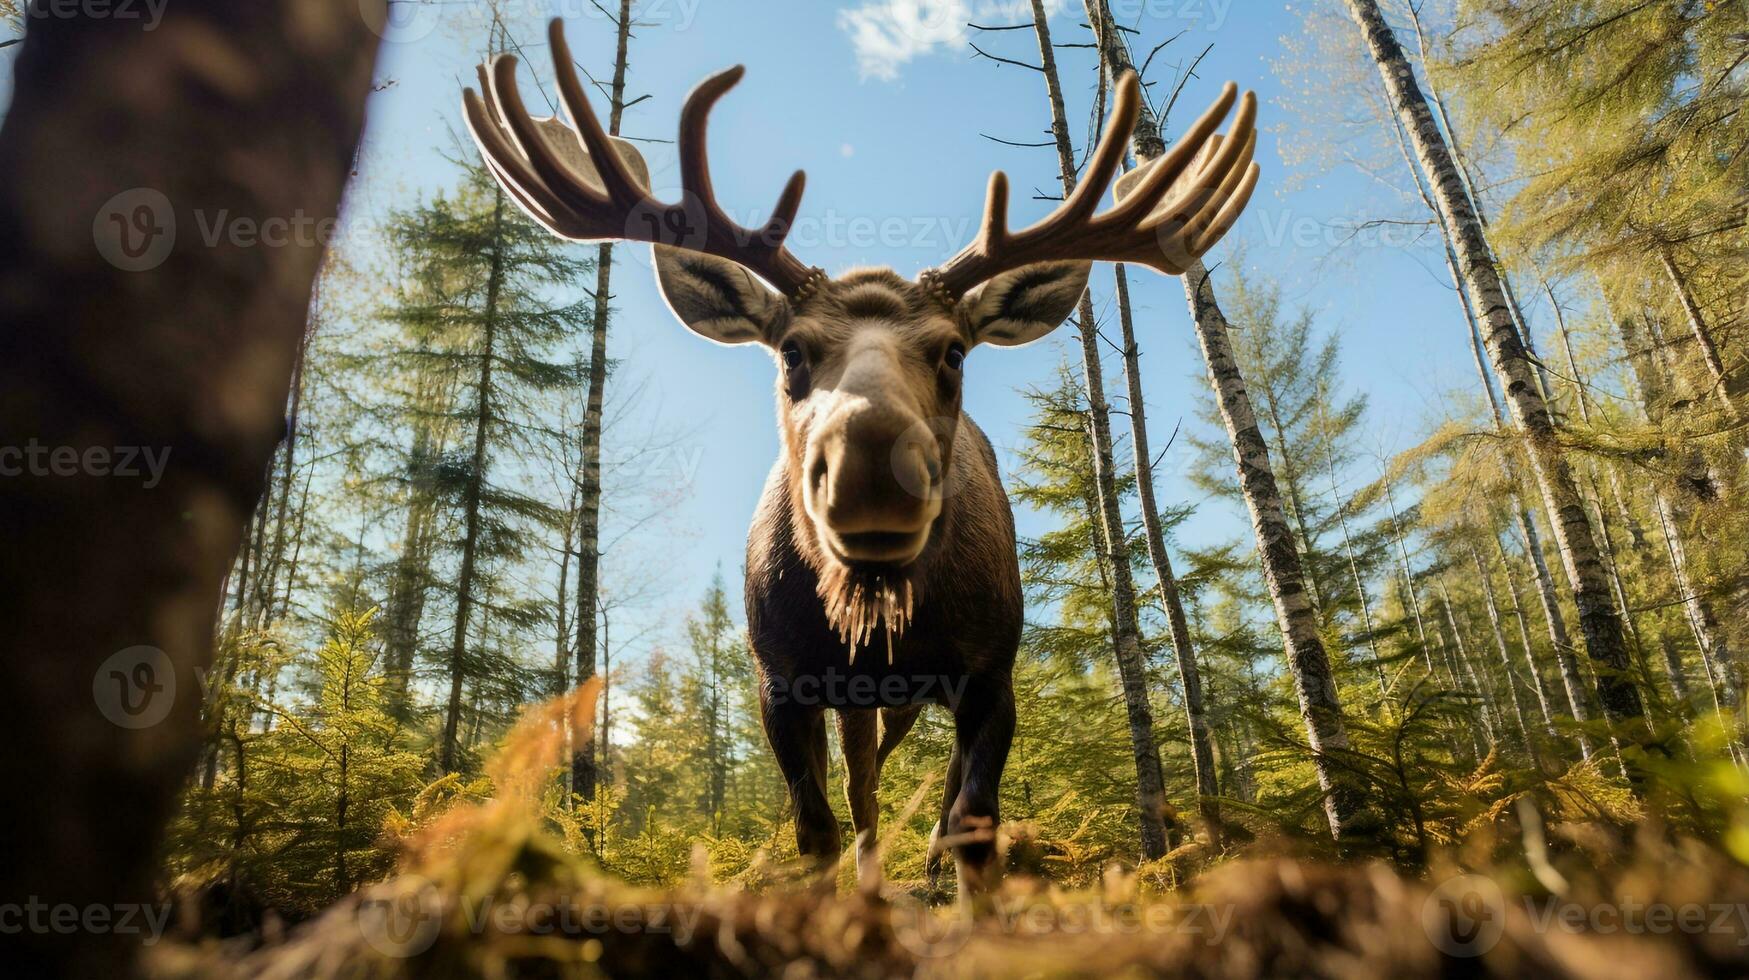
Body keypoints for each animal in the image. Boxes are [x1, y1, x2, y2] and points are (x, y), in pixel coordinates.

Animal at [465, 17, 1259, 896]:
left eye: (953, 352)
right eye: (791, 351)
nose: (872, 469)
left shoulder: (989, 675)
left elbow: (972, 819)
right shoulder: (781, 681)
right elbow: (818, 824)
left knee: (924, 792)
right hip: (855, 700)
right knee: (864, 787)